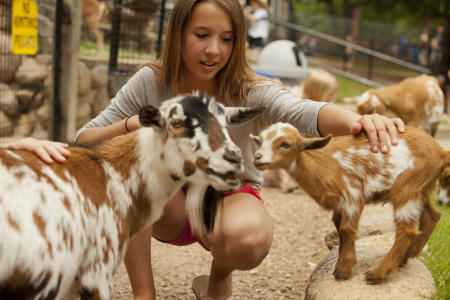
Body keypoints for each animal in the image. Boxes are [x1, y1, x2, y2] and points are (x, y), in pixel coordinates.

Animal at [251, 122, 444, 284]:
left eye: (285, 144)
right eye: (259, 141)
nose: (257, 157)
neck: (323, 163)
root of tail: (441, 152)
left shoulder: (352, 193)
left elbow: (347, 229)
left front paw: (344, 271)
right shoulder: (339, 204)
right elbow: (338, 228)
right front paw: (339, 265)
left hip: (406, 187)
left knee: (407, 230)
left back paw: (378, 273)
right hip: (421, 188)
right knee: (432, 215)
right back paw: (407, 256)